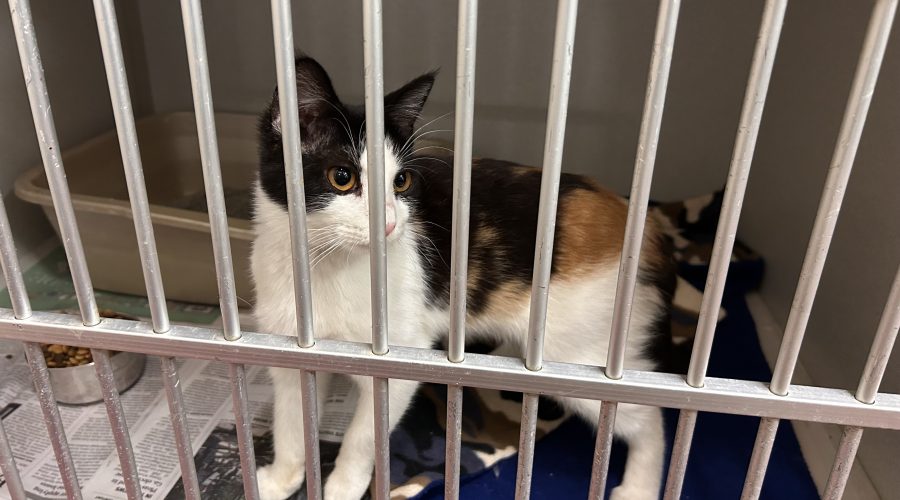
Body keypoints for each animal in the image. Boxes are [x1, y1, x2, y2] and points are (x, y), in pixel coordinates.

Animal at [251, 56, 676, 500]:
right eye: (342, 177)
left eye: (401, 181)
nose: (388, 224)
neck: (326, 265)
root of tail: (639, 225)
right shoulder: (291, 352)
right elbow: (290, 424)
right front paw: (280, 480)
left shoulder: (398, 359)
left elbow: (362, 438)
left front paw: (341, 490)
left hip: (583, 350)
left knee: (647, 415)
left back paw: (640, 487)